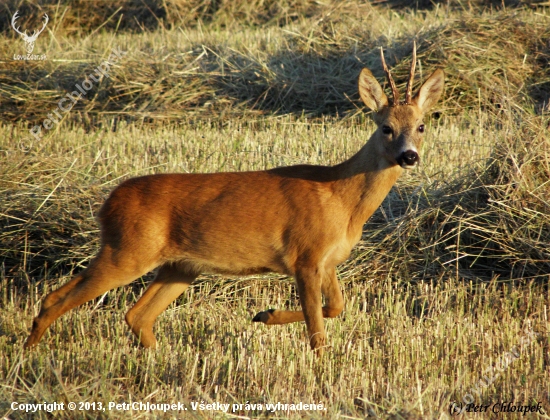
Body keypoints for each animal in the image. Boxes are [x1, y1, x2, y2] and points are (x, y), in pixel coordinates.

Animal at [25, 43, 446, 354]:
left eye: (422, 126)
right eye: (386, 127)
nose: (409, 156)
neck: (341, 198)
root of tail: (107, 203)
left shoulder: (328, 262)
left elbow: (336, 308)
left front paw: (265, 314)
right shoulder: (305, 257)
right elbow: (317, 331)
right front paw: (317, 364)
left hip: (179, 266)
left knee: (136, 315)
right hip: (127, 250)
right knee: (54, 300)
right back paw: (27, 357)